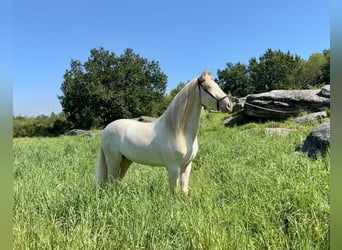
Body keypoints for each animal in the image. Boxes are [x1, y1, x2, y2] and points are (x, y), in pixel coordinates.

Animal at [95, 69, 234, 194]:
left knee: (117, 180)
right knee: (111, 180)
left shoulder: (186, 166)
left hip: (125, 160)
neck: (179, 132)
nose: (229, 105)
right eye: (208, 87)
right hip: (113, 160)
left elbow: (184, 191)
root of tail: (107, 128)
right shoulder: (173, 168)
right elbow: (174, 192)